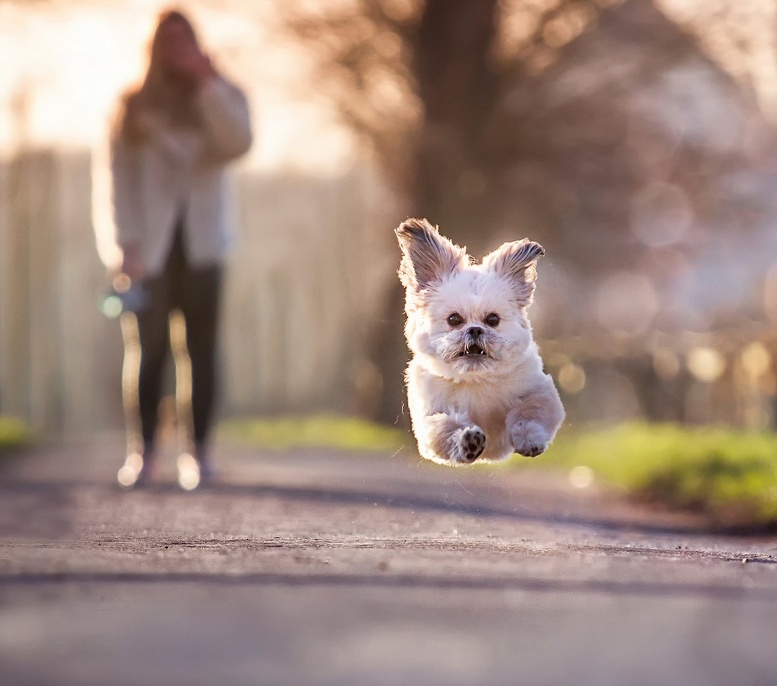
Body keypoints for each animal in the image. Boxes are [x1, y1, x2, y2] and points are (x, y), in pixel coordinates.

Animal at [398, 220, 560, 468]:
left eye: (492, 319)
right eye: (454, 320)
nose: (475, 329)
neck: (475, 377)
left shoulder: (538, 391)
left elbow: (529, 413)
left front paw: (529, 439)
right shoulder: (431, 417)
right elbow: (447, 427)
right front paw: (467, 441)